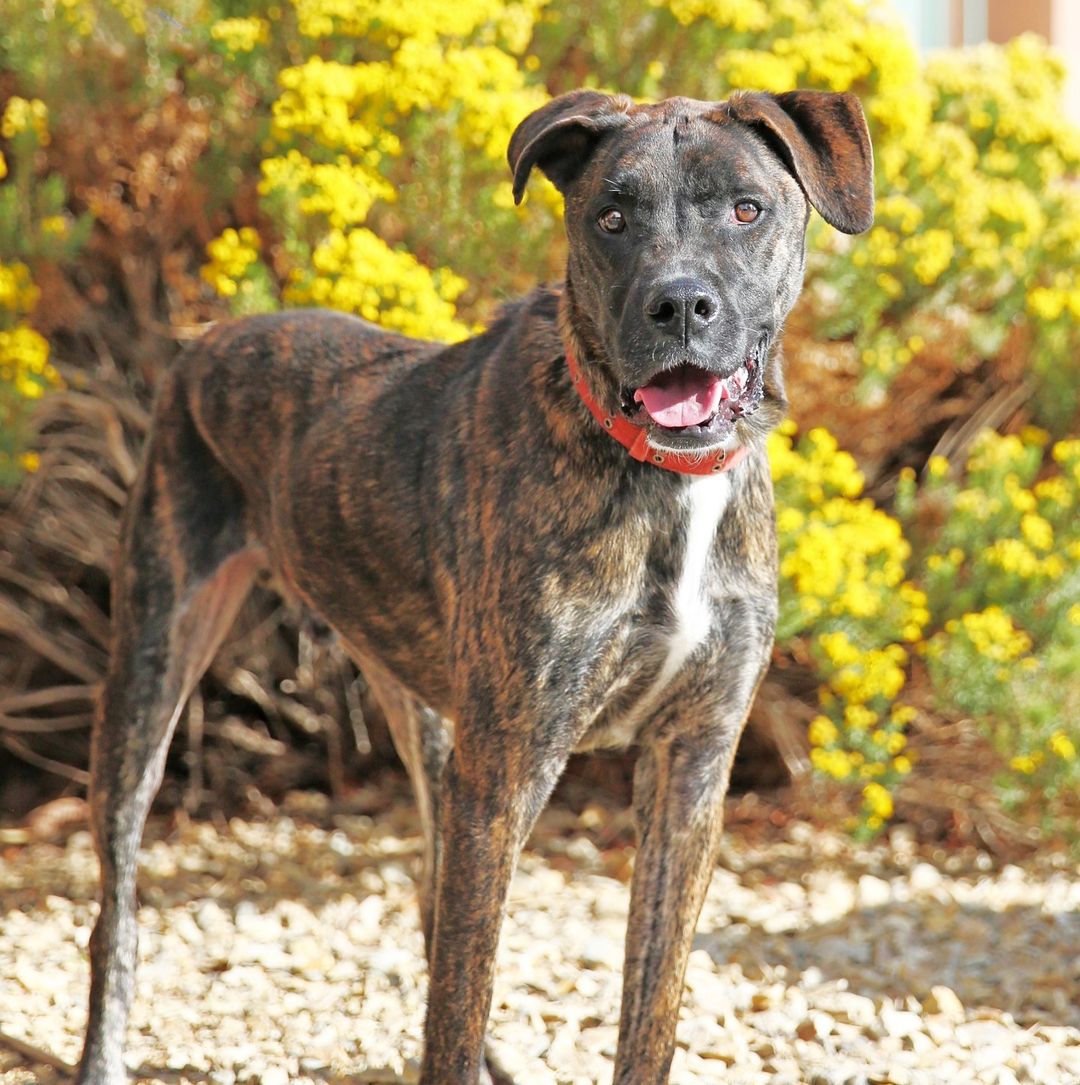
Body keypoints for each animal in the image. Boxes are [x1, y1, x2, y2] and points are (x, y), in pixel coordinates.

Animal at [78, 88, 868, 1080]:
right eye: (611, 216)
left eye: (747, 208)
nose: (680, 303)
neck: (662, 477)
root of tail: (204, 341)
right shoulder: (507, 773)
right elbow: (457, 1006)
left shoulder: (692, 767)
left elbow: (648, 1011)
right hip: (152, 666)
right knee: (117, 909)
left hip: (424, 712)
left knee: (428, 895)